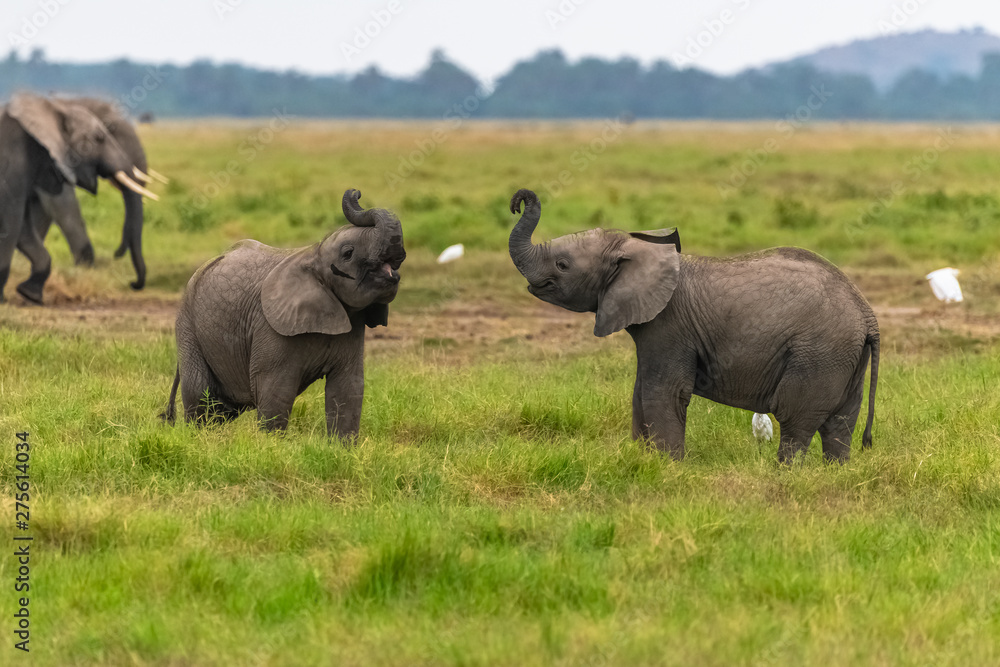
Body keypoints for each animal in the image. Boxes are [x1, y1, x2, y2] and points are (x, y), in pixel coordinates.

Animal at [0, 92, 158, 306]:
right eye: (100, 137)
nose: (133, 284)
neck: (58, 105)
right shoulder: (15, 163)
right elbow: (13, 223)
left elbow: (24, 229)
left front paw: (30, 294)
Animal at [504, 188, 880, 464]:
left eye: (562, 265)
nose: (518, 201)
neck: (637, 250)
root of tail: (867, 314)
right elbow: (640, 393)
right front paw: (642, 460)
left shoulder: (670, 327)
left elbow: (663, 392)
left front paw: (667, 467)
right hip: (844, 357)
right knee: (840, 424)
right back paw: (834, 472)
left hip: (817, 353)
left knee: (795, 421)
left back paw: (785, 474)